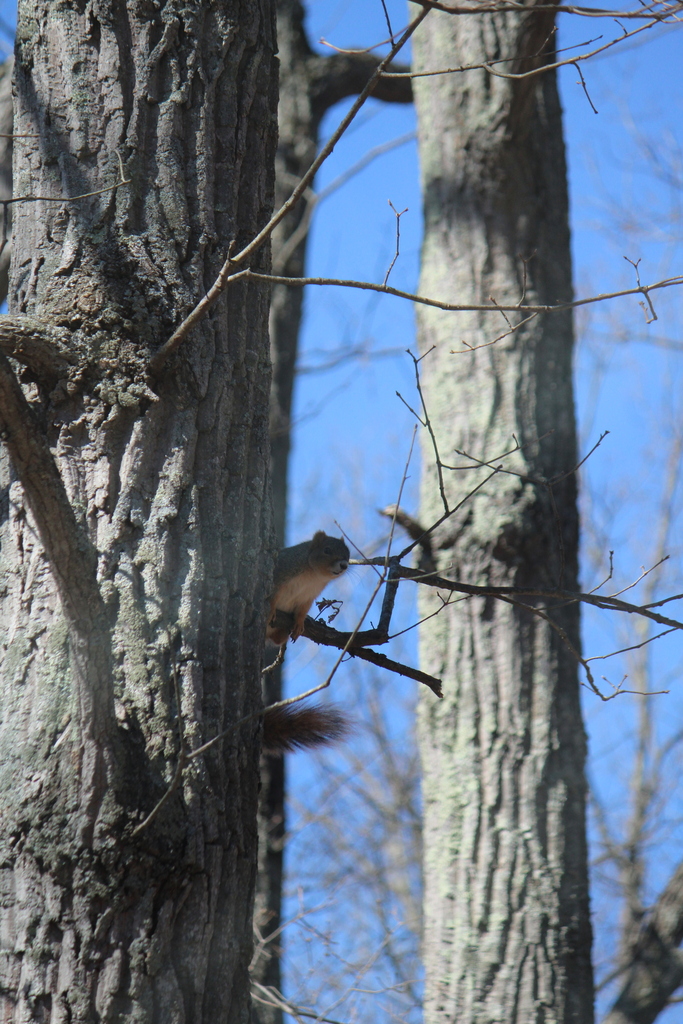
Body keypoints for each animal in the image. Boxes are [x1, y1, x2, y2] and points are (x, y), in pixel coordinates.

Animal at [264, 536, 352, 753]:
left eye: (348, 555)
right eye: (327, 550)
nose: (344, 565)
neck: (313, 575)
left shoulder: (308, 597)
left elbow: (302, 611)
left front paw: (299, 624)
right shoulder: (281, 573)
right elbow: (273, 597)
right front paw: (271, 610)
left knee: (277, 639)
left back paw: (284, 634)